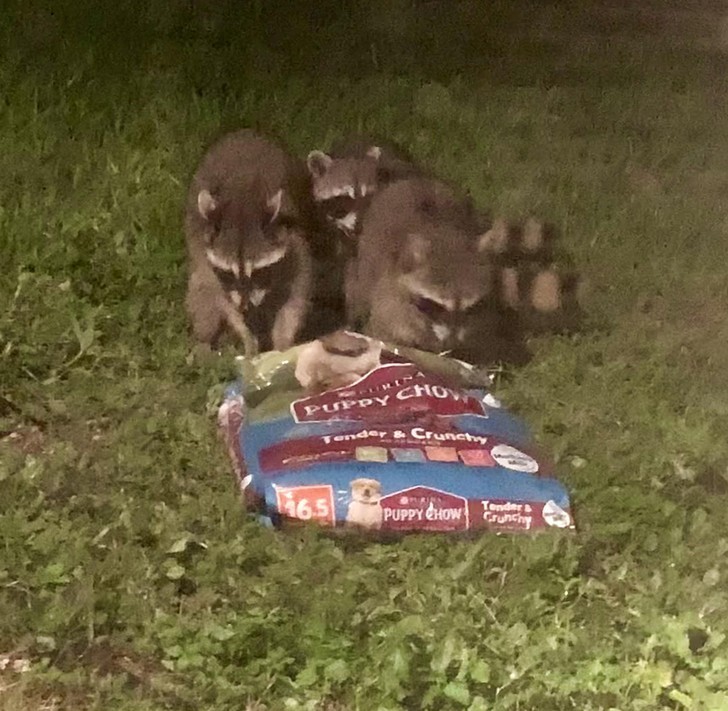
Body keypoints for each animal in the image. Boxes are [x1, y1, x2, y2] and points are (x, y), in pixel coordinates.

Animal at [183, 129, 314, 354]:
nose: (246, 308)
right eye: (229, 273)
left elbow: (296, 297)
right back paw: (205, 340)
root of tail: (245, 132)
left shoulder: (296, 244)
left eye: (258, 272)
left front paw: (282, 344)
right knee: (201, 289)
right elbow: (224, 300)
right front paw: (249, 340)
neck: (243, 203)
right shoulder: (209, 260)